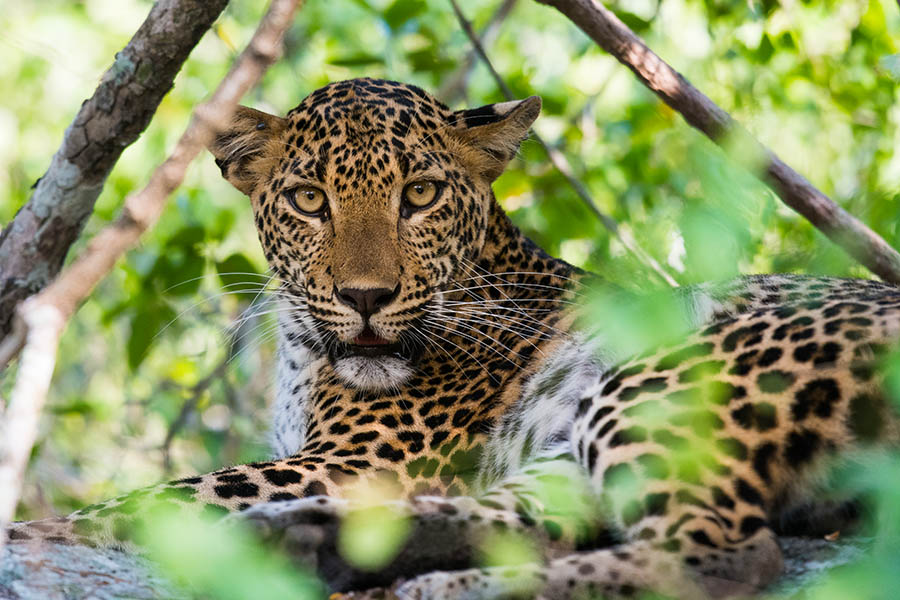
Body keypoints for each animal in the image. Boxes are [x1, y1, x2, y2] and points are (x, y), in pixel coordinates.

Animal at [7, 78, 900, 600]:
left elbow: (159, 496)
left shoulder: (358, 458)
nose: (366, 298)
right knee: (527, 528)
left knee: (720, 555)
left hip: (669, 375)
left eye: (422, 195)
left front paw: (39, 532)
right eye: (308, 200)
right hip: (567, 446)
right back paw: (306, 541)